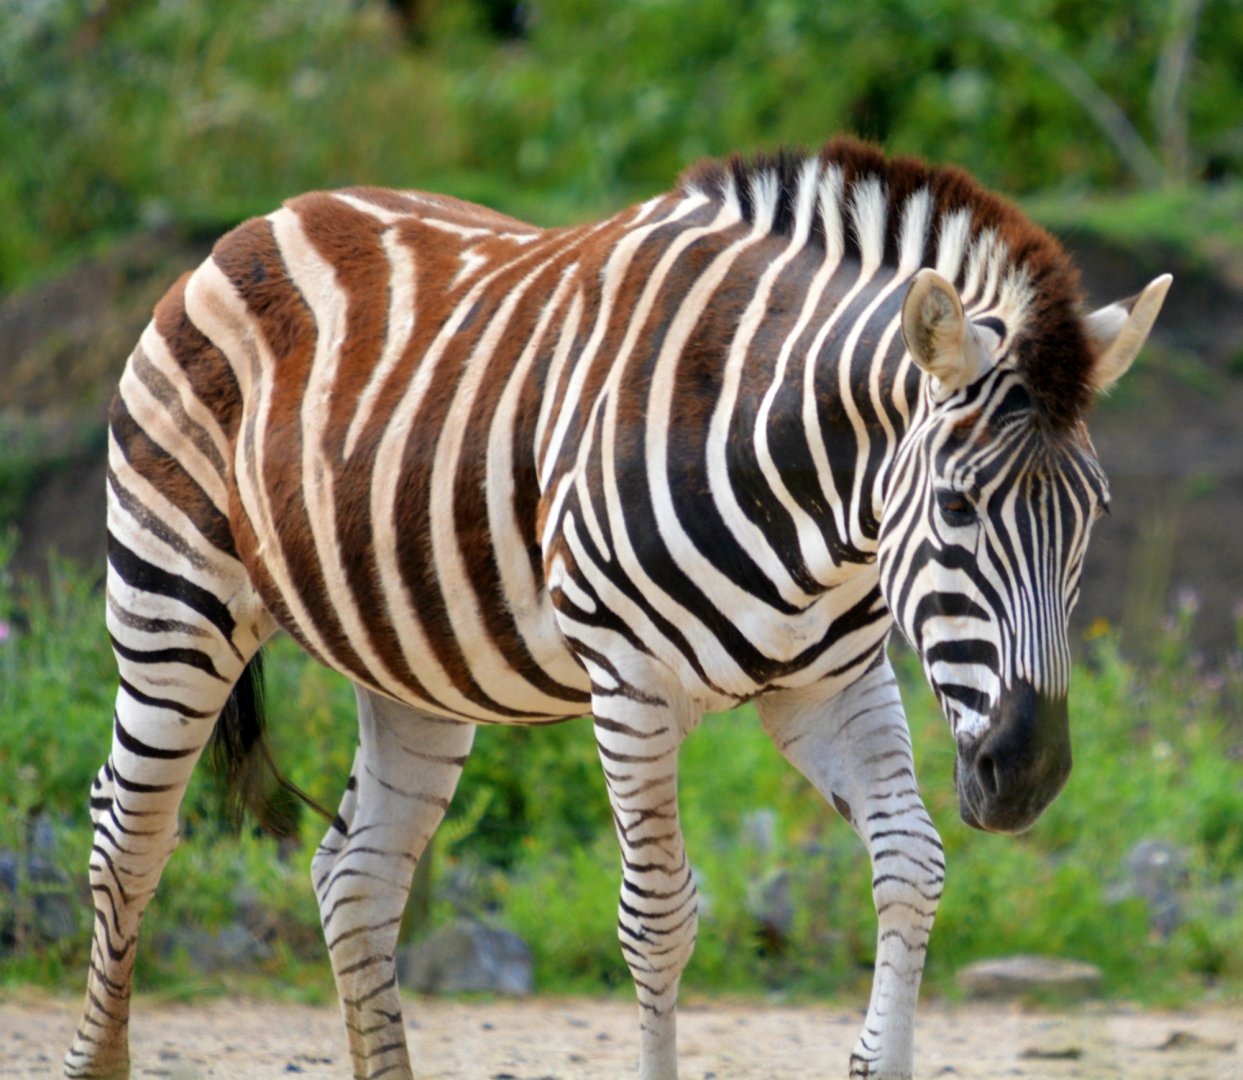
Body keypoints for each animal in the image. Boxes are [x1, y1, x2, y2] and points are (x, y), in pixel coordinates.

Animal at [64, 137, 1169, 1080]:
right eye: (954, 507)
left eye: (1094, 517)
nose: (1028, 775)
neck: (807, 499)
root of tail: (264, 220)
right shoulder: (632, 684)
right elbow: (659, 918)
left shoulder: (828, 685)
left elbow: (912, 866)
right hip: (173, 603)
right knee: (128, 835)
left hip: (410, 666)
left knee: (355, 876)